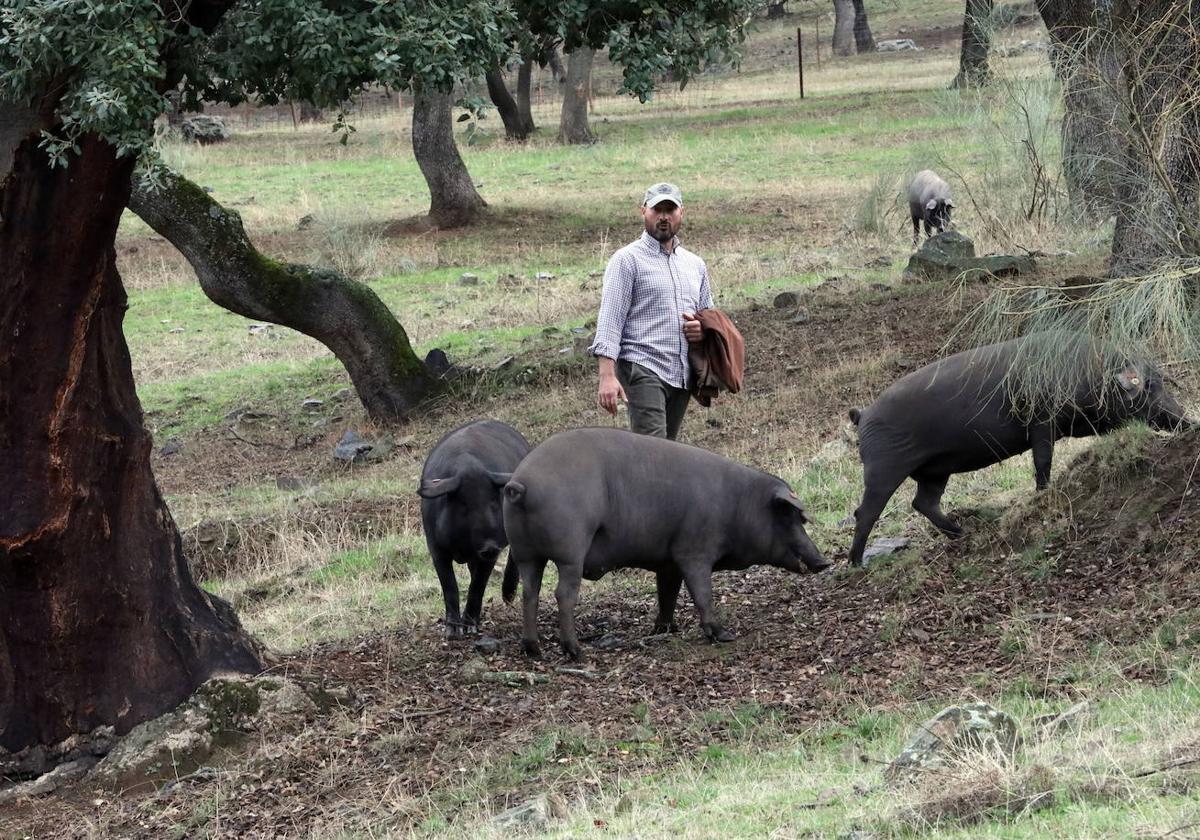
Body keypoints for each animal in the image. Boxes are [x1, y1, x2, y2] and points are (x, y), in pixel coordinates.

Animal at [424, 420, 532, 638]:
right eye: (464, 505)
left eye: (493, 502)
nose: (489, 547)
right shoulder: (436, 548)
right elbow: (449, 585)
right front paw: (452, 632)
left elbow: (478, 584)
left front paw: (471, 629)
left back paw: (508, 598)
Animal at [501, 429, 830, 657]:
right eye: (787, 517)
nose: (824, 561)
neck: (738, 505)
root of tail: (522, 483)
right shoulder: (694, 550)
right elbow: (702, 592)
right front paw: (723, 634)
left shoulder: (668, 561)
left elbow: (667, 593)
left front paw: (666, 629)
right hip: (570, 551)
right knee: (562, 594)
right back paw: (576, 651)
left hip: (526, 554)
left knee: (530, 593)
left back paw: (533, 649)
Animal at [844, 338, 1190, 568]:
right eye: (1149, 387)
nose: (1187, 420)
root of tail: (863, 414)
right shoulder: (1042, 422)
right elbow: (1043, 461)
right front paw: (1043, 493)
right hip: (884, 468)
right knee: (866, 512)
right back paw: (857, 563)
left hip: (935, 471)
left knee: (923, 502)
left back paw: (962, 533)